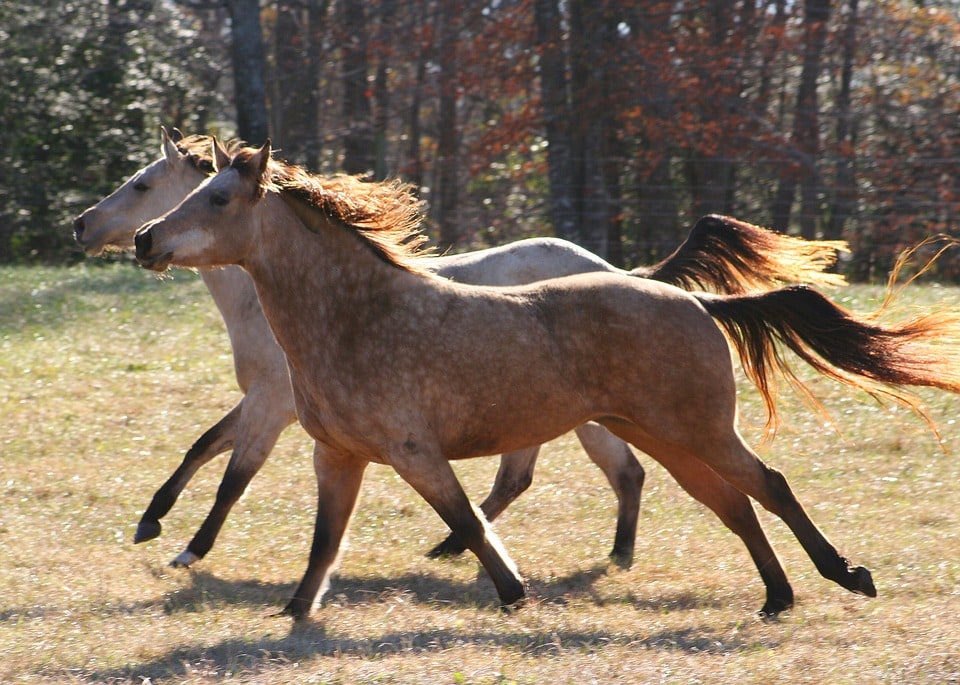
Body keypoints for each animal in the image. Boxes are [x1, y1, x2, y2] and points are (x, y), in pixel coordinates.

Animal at [133, 139, 960, 621]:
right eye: (187, 192)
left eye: (216, 198)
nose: (143, 239)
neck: (358, 316)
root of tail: (696, 300)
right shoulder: (335, 454)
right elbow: (322, 542)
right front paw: (294, 613)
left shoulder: (411, 451)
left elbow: (468, 518)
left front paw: (511, 590)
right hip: (659, 435)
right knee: (733, 504)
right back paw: (777, 597)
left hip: (696, 429)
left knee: (770, 486)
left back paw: (845, 576)